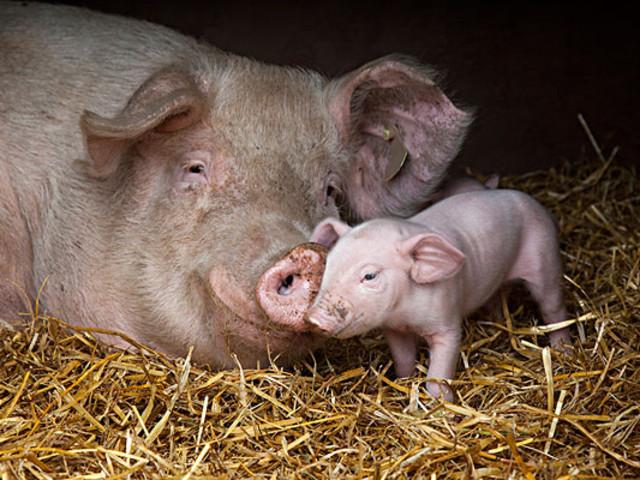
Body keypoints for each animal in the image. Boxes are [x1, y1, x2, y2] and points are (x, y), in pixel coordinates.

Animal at [304, 189, 568, 400]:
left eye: (370, 276)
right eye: (329, 264)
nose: (314, 318)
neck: (404, 314)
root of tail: (531, 201)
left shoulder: (447, 322)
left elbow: (438, 372)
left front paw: (439, 403)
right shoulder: (394, 329)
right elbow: (403, 359)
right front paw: (403, 380)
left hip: (544, 258)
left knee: (553, 308)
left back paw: (563, 349)